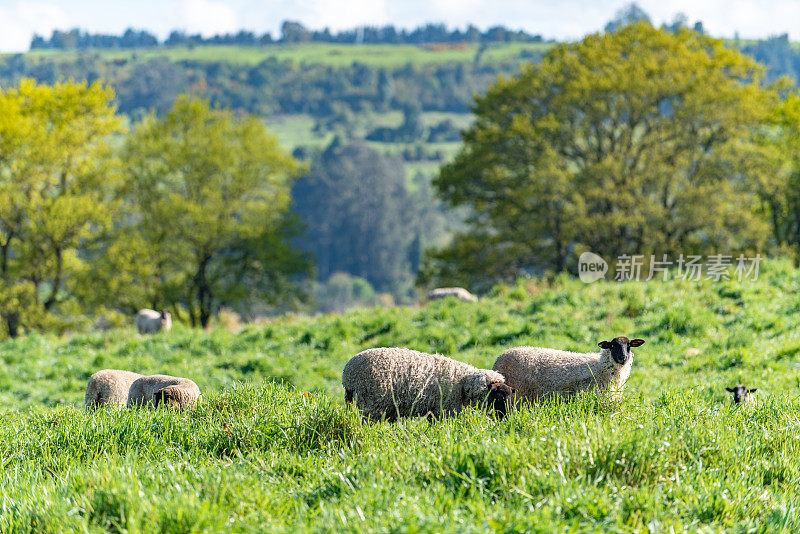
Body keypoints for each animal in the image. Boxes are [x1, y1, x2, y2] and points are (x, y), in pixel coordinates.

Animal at [340, 350, 510, 426]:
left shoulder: (434, 410)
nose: (506, 417)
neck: (462, 381)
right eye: (499, 396)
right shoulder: (445, 409)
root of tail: (348, 375)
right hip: (371, 404)